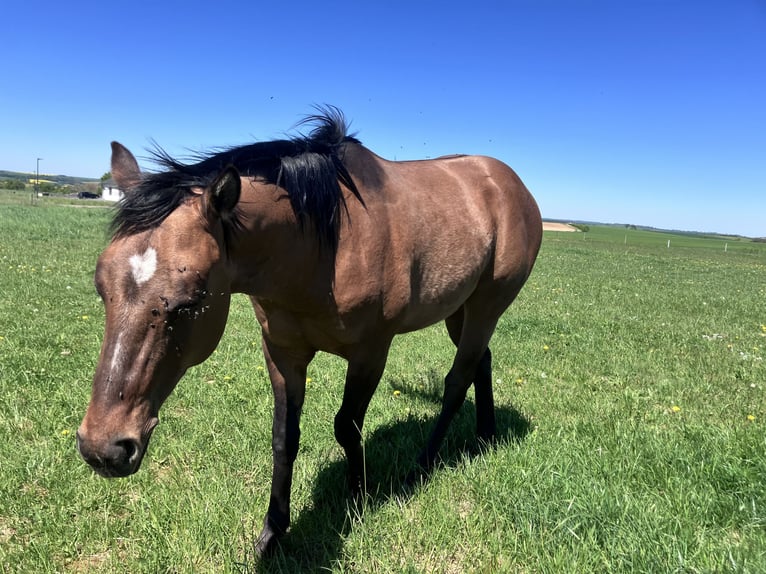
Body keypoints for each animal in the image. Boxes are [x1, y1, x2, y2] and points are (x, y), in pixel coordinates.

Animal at [76, 108, 542, 555]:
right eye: (101, 287)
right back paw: (485, 435)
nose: (103, 448)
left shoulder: (371, 352)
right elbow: (284, 437)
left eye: (192, 301)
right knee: (482, 361)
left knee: (457, 380)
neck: (324, 247)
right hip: (458, 310)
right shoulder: (282, 353)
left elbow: (347, 427)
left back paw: (423, 465)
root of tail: (512, 184)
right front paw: (272, 533)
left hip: (486, 306)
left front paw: (358, 501)